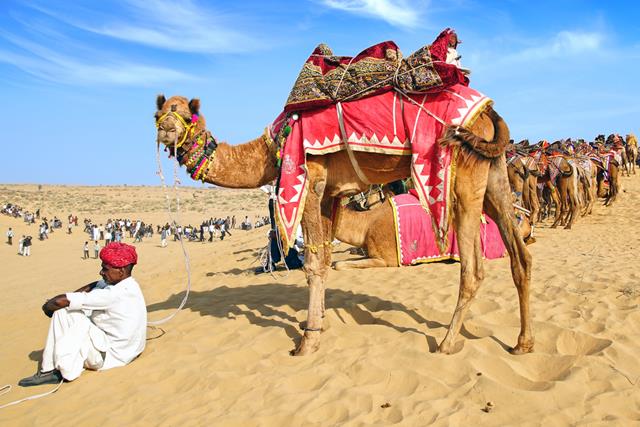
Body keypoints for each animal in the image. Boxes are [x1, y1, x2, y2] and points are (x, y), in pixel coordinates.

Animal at [152, 32, 532, 358]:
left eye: (186, 114)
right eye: (159, 113)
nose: (165, 131)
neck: (270, 148)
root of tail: (489, 110)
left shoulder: (308, 181)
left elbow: (313, 264)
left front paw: (306, 343)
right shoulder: (331, 194)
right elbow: (326, 260)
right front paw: (320, 324)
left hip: (462, 177)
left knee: (473, 268)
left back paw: (448, 342)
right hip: (494, 173)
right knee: (521, 256)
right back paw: (522, 343)